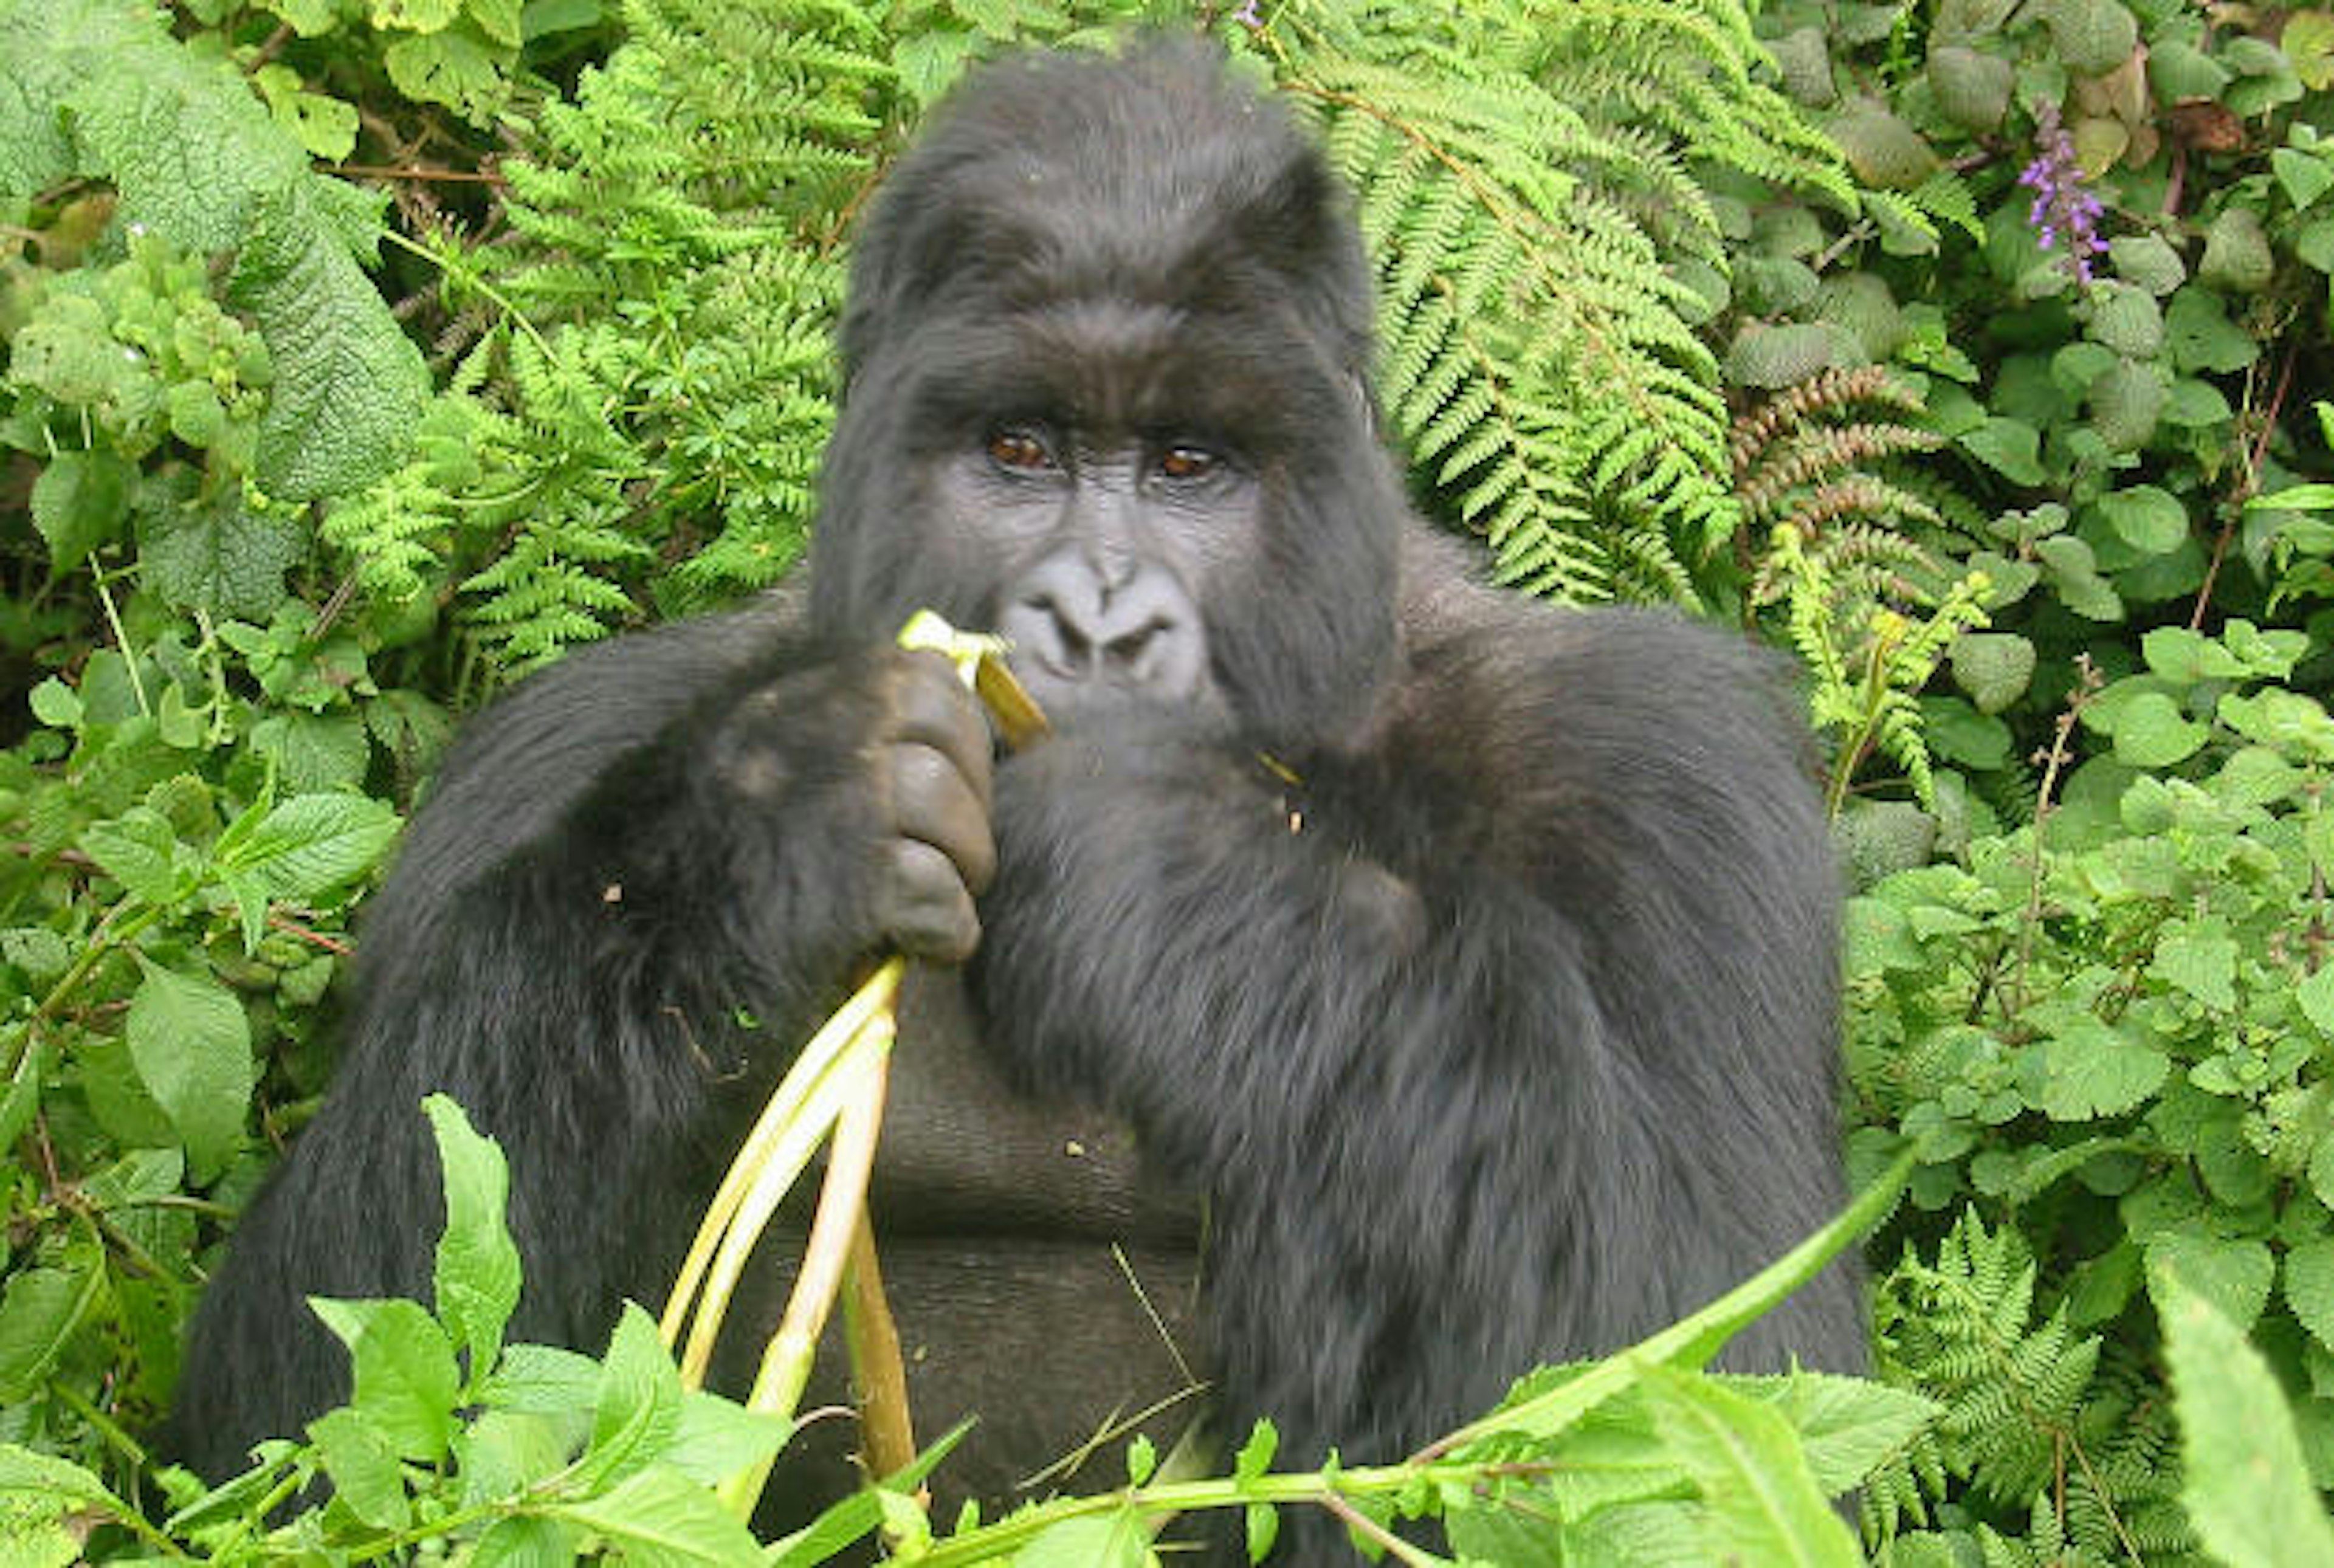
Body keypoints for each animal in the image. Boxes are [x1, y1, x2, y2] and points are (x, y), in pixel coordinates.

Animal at [169, 36, 1857, 1568]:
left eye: (1189, 463)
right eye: (1020, 449)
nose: (1096, 626)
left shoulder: (1659, 767)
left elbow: (1702, 1386)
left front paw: (1176, 877)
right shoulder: (536, 754)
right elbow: (317, 1413)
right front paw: (755, 830)